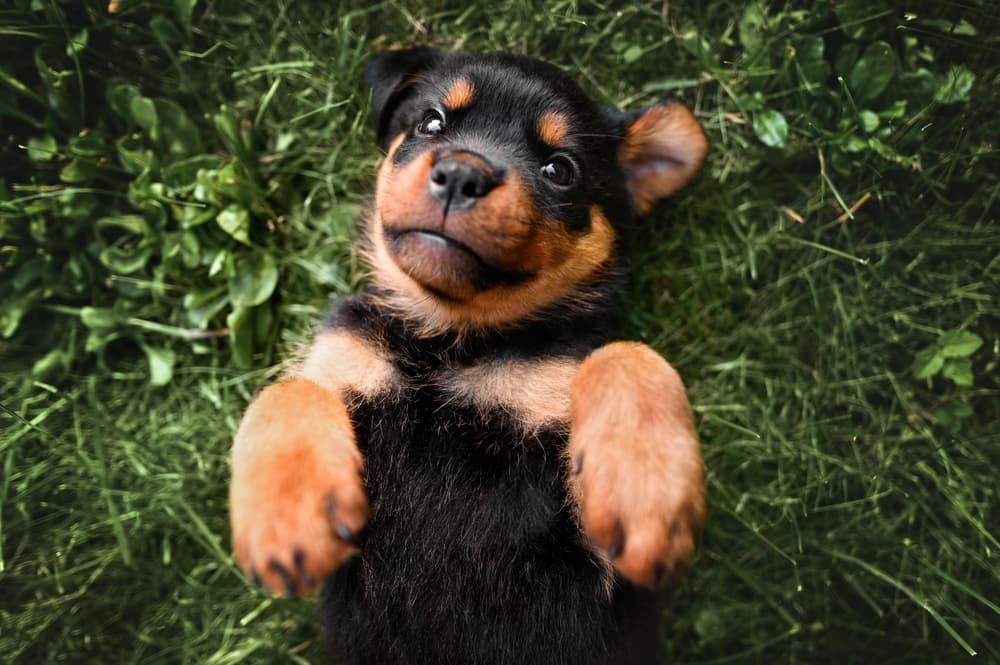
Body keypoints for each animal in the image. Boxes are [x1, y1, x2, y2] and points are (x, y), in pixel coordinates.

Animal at [230, 48, 708, 664]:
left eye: (560, 169)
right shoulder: (348, 345)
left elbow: (629, 351)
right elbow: (288, 387)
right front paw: (287, 518)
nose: (461, 173)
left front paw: (643, 495)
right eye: (431, 122)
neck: (450, 340)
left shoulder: (597, 570)